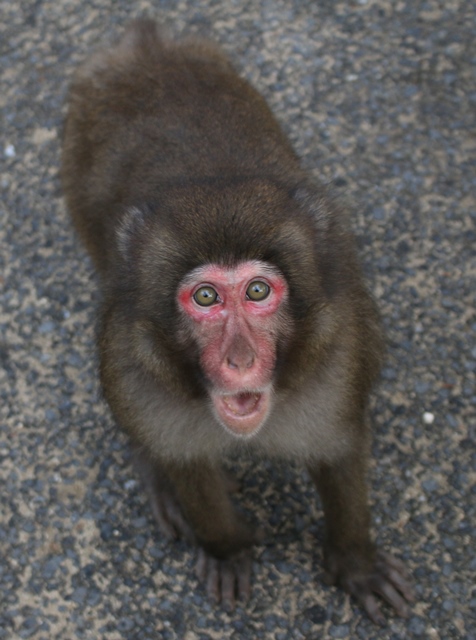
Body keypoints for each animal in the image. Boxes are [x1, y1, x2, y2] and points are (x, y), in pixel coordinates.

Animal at [61, 20, 414, 624]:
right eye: (205, 297)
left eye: (257, 291)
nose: (240, 358)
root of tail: (146, 47)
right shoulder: (138, 372)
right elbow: (189, 468)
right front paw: (226, 548)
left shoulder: (338, 360)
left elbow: (341, 451)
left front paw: (355, 560)